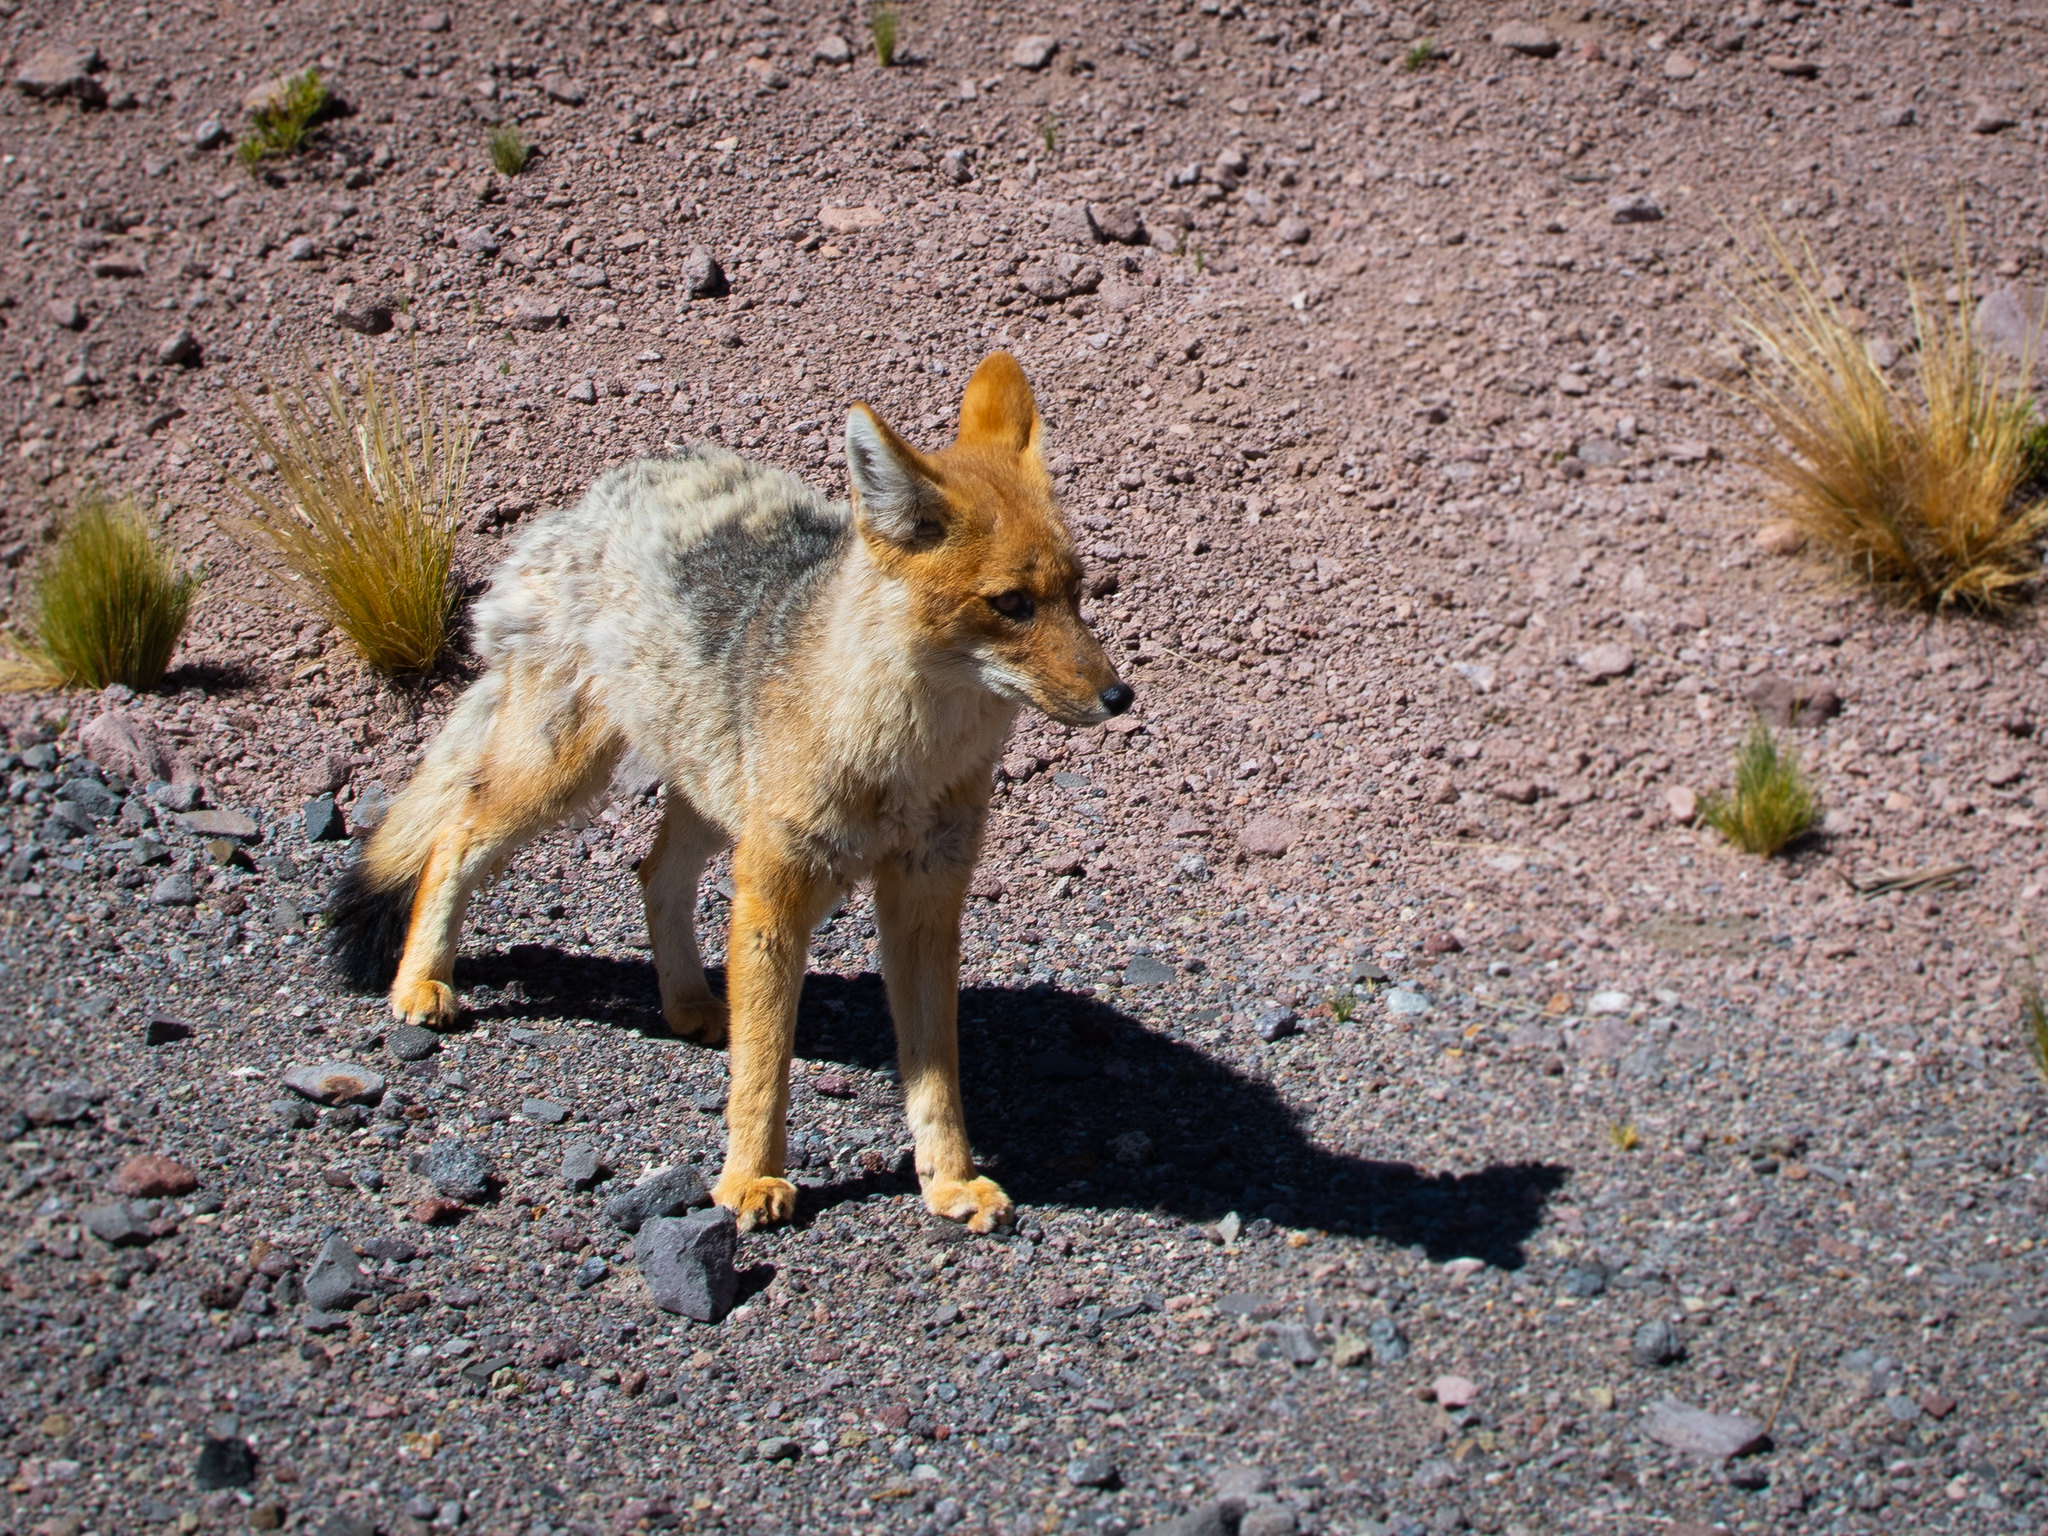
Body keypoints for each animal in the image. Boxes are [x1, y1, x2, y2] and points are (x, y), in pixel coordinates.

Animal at [325, 352, 1133, 1234]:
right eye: (1011, 605)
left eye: (1078, 592)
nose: (1119, 696)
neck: (902, 760)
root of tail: (588, 501)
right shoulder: (772, 892)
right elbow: (765, 1062)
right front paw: (750, 1178)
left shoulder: (926, 899)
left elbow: (936, 1073)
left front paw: (948, 1181)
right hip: (565, 782)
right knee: (455, 837)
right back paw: (420, 982)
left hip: (713, 802)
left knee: (654, 876)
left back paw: (685, 1001)